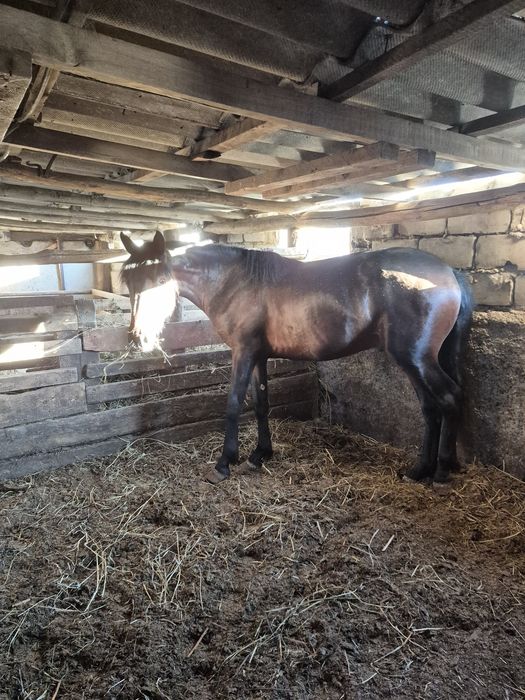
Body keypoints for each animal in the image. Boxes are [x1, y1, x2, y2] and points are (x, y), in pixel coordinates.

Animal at [120, 231, 473, 486]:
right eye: (129, 282)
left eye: (159, 280)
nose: (139, 337)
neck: (235, 282)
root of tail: (449, 272)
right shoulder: (259, 356)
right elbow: (261, 404)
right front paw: (259, 455)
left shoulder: (243, 352)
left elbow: (233, 404)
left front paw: (224, 463)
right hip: (416, 363)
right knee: (430, 409)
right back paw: (420, 470)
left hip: (416, 359)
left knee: (450, 399)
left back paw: (441, 473)